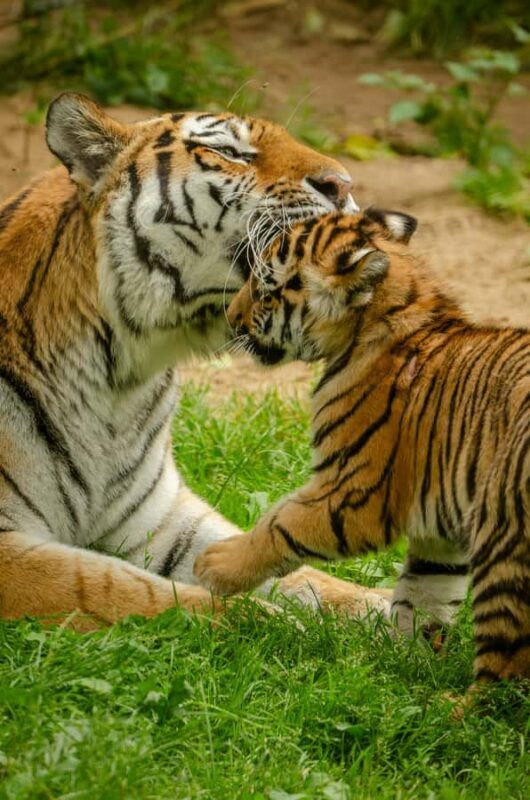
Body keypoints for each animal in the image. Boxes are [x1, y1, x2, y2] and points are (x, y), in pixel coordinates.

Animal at [0, 92, 393, 630]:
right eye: (229, 152)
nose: (344, 185)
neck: (120, 376)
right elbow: (110, 586)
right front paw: (268, 625)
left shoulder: (158, 517)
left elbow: (280, 561)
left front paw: (390, 614)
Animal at [194, 208, 530, 686]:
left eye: (266, 289)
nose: (232, 316)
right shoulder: (437, 528)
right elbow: (421, 595)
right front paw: (397, 667)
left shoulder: (356, 494)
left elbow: (279, 525)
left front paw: (215, 566)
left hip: (504, 535)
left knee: (505, 662)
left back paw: (457, 705)